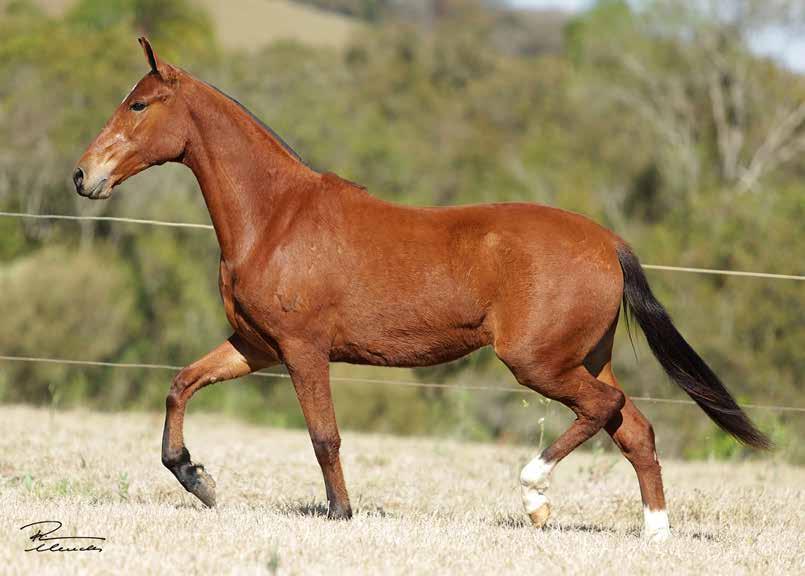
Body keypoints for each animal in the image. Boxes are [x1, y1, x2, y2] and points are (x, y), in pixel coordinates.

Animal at [74, 38, 768, 544]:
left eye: (139, 105)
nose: (83, 176)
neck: (276, 218)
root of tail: (607, 242)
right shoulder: (256, 345)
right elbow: (180, 384)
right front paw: (196, 478)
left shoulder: (302, 350)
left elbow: (324, 437)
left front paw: (340, 514)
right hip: (584, 358)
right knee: (634, 428)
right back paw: (654, 534)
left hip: (537, 362)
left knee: (605, 410)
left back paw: (534, 497)